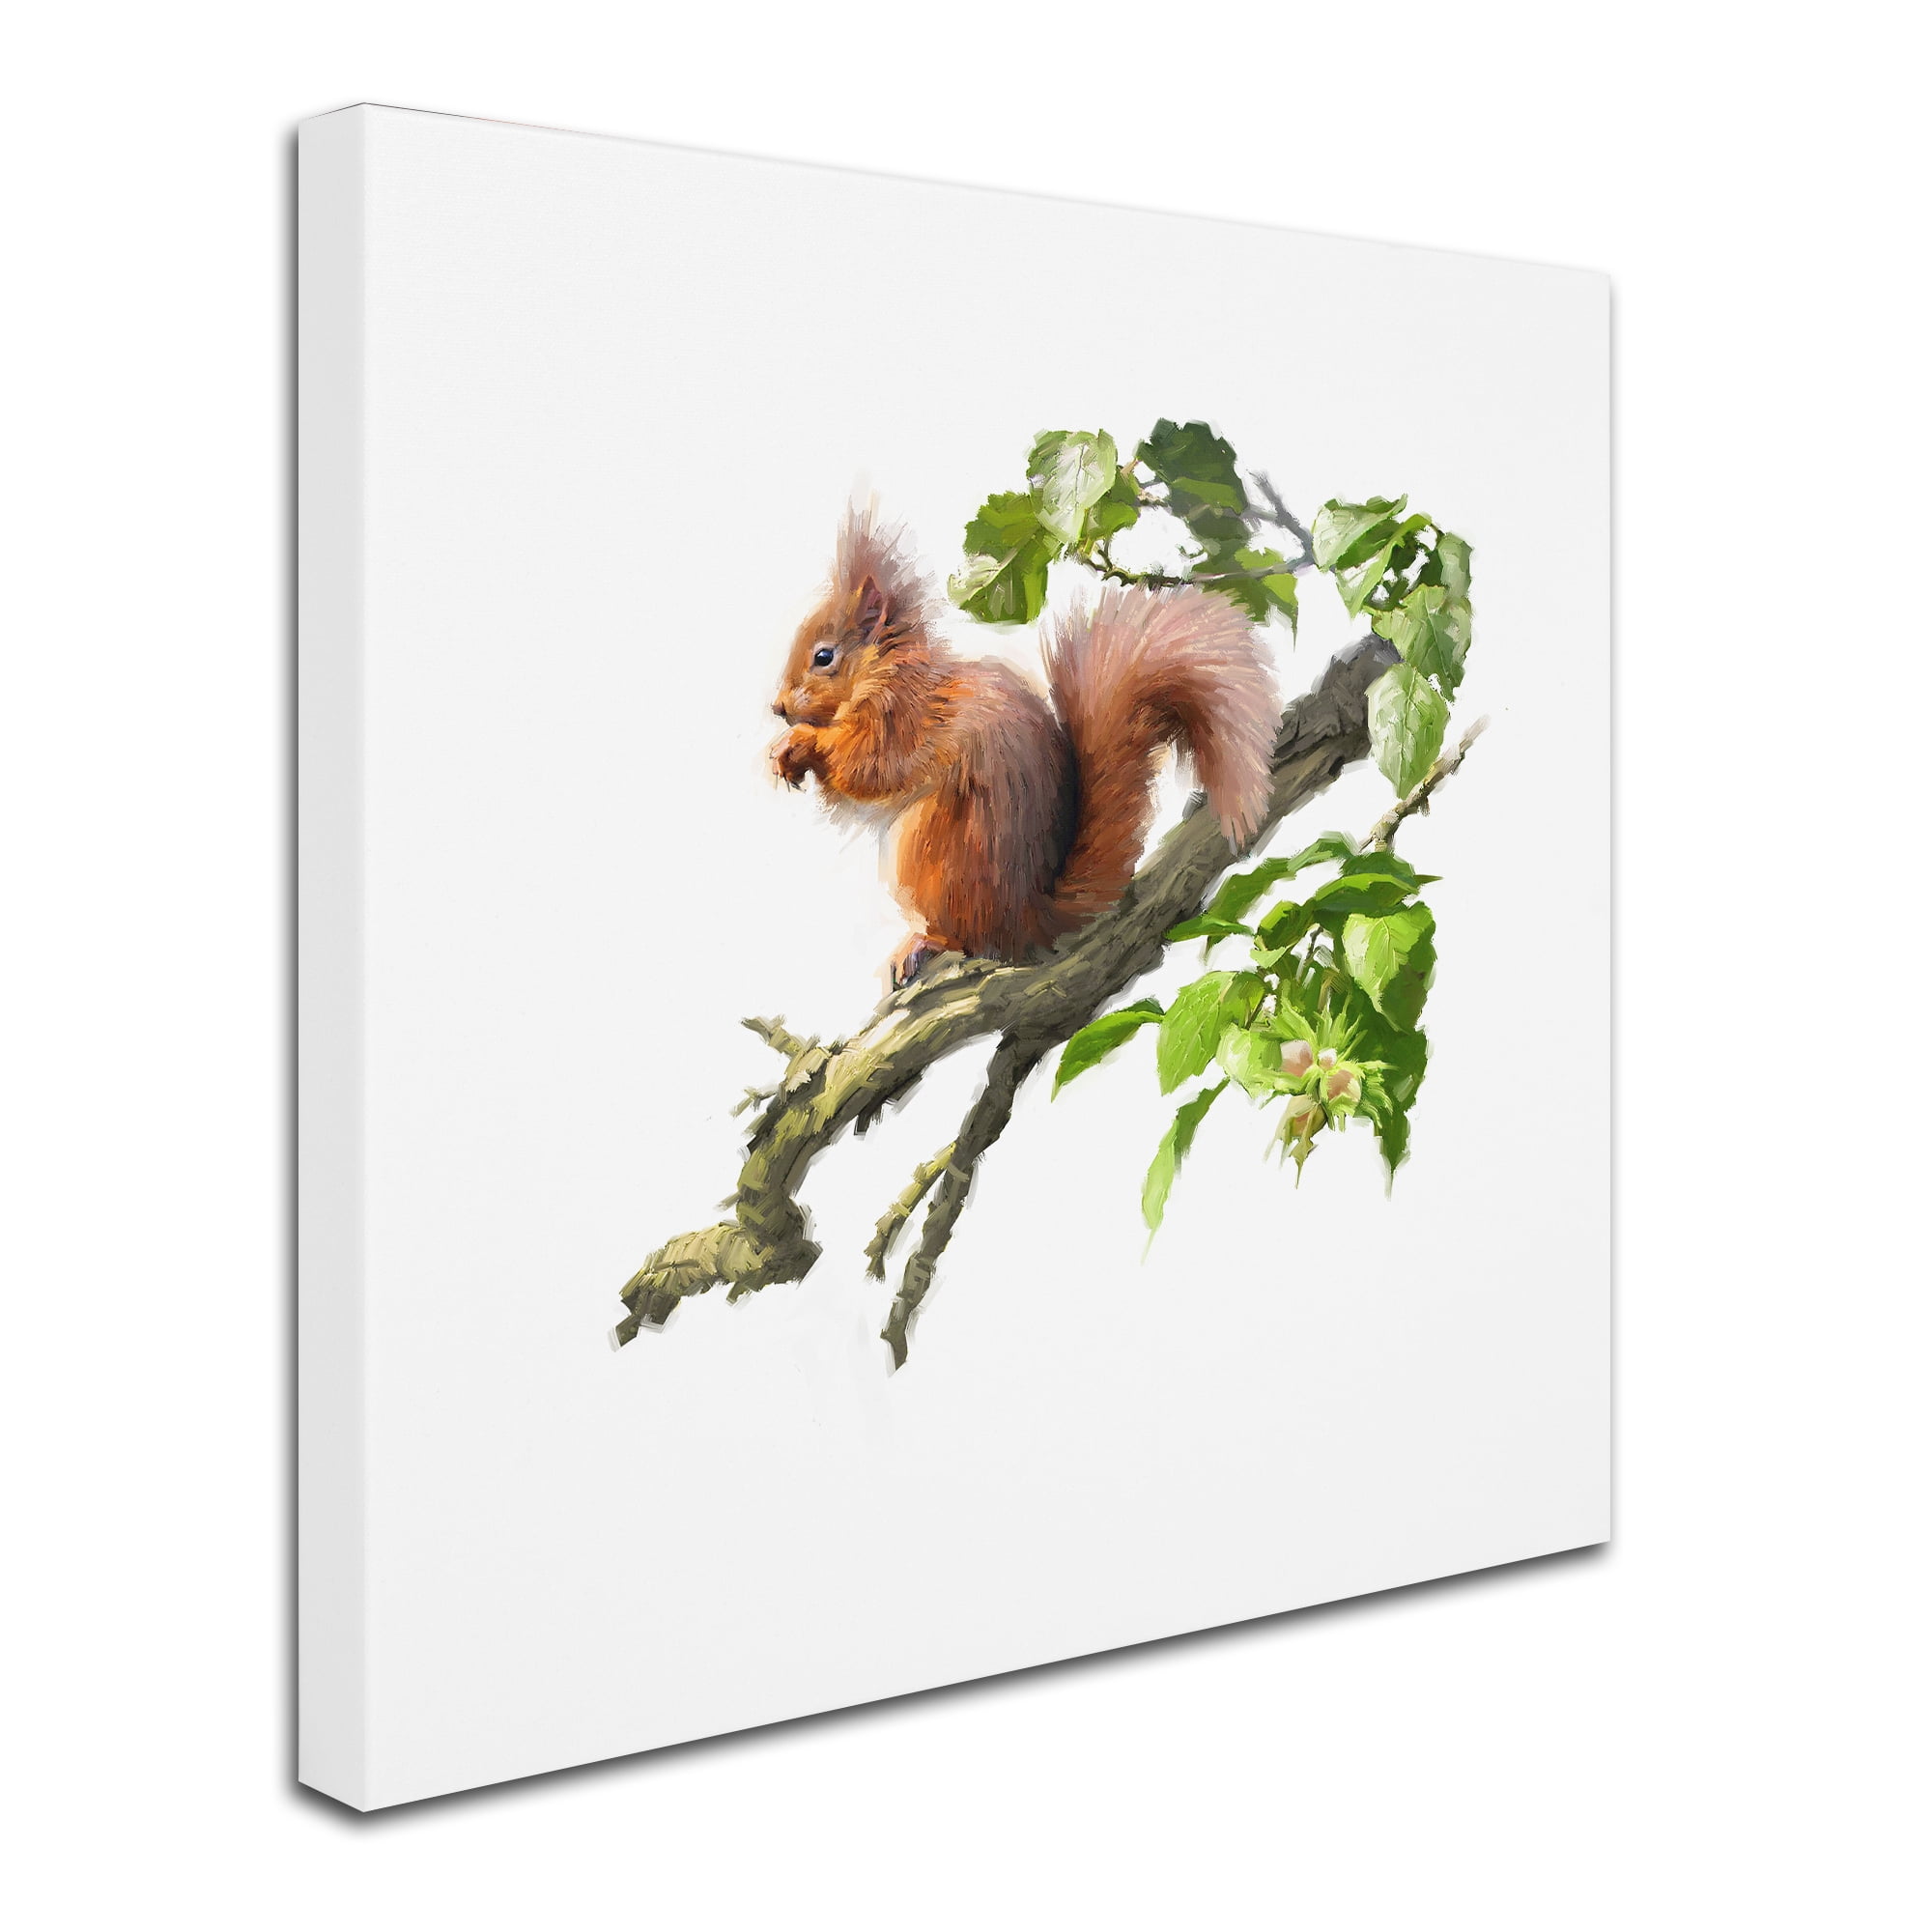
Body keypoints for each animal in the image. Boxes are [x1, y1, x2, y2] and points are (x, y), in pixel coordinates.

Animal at [770, 505, 1282, 987]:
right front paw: (782, 756)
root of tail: (1026, 920)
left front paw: (800, 744)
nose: (777, 707)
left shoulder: (903, 720)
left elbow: (867, 767)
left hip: (929, 850)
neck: (885, 674)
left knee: (964, 938)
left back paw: (924, 942)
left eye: (823, 656)